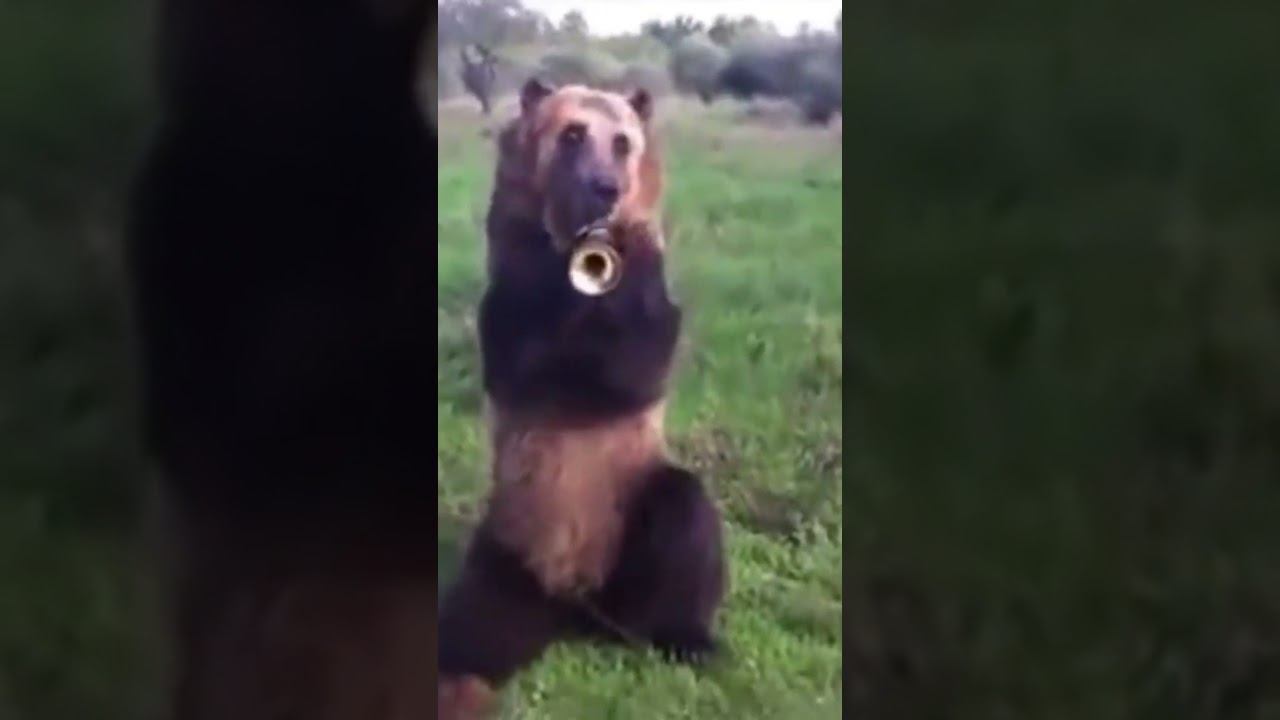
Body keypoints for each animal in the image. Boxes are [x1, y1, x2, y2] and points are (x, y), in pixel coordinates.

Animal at [438, 79, 728, 718]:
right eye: (572, 133)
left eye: (622, 141)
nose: (605, 189)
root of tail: (575, 607)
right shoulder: (510, 284)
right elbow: (526, 367)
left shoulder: (648, 285)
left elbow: (633, 368)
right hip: (507, 548)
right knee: (473, 619)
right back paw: (460, 677)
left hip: (631, 532)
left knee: (682, 514)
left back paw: (690, 641)